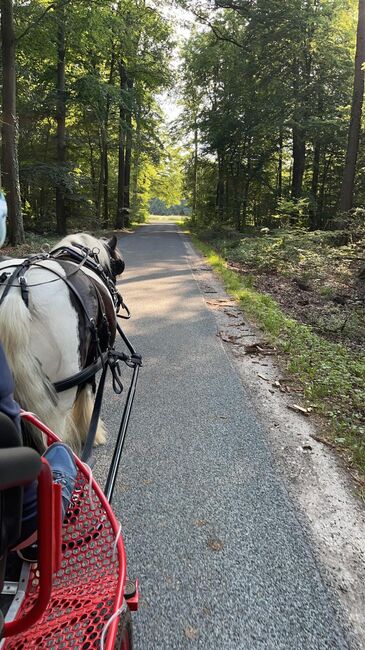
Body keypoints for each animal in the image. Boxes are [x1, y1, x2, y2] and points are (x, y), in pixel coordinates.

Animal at [0, 232, 125, 450]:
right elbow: (87, 394)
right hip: (59, 394)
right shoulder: (91, 363)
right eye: (117, 265)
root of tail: (17, 289)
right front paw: (91, 435)